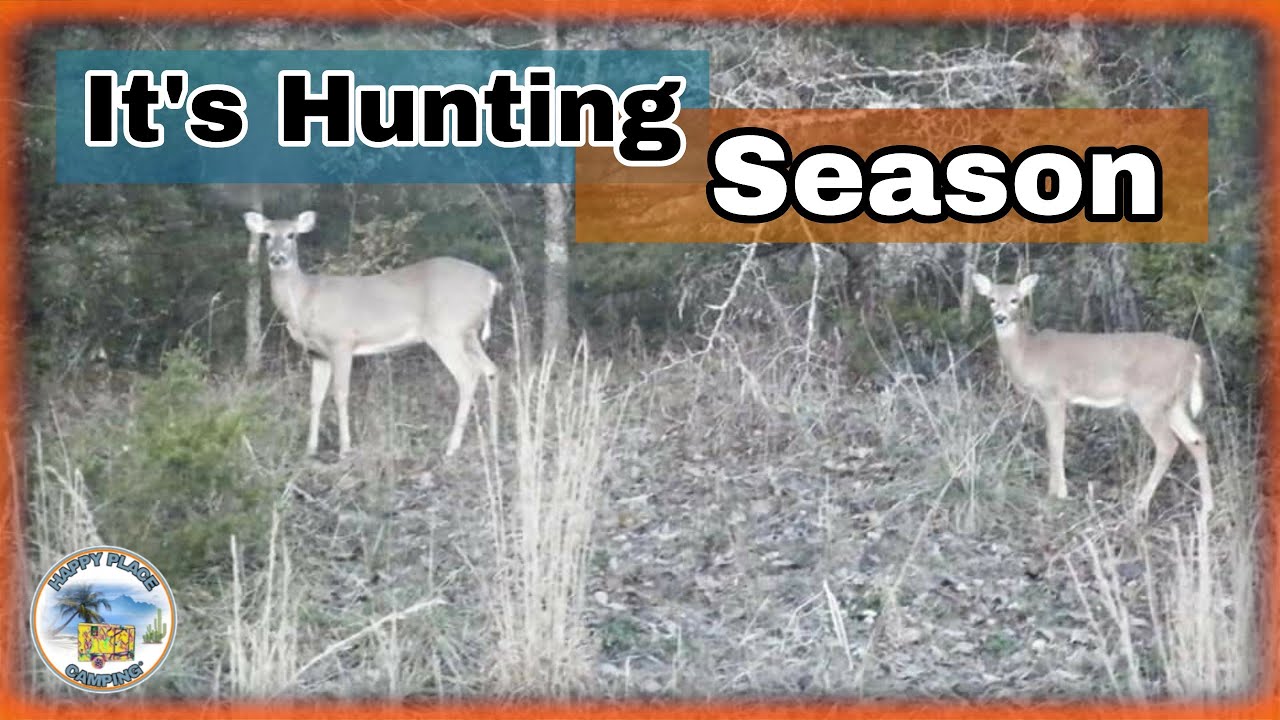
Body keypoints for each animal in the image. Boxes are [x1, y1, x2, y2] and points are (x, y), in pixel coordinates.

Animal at [244, 210, 501, 460]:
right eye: (266, 236)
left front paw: (345, 449)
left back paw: (452, 447)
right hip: (468, 333)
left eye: (292, 235)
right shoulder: (318, 353)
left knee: (468, 375)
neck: (306, 298)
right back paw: (493, 439)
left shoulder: (341, 341)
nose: (277, 258)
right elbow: (315, 397)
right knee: (490, 370)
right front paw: (310, 449)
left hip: (446, 331)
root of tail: (490, 281)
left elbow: (340, 393)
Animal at [971, 273, 1211, 522]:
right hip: (1173, 402)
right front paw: (1055, 489)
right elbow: (1054, 438)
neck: (1028, 353)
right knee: (1197, 439)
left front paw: (1057, 493)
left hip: (1149, 401)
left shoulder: (1053, 395)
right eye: (991, 299)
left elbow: (1054, 439)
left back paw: (1140, 506)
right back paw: (1206, 506)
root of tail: (1193, 353)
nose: (1000, 318)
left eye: (1015, 300)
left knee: (1168, 444)